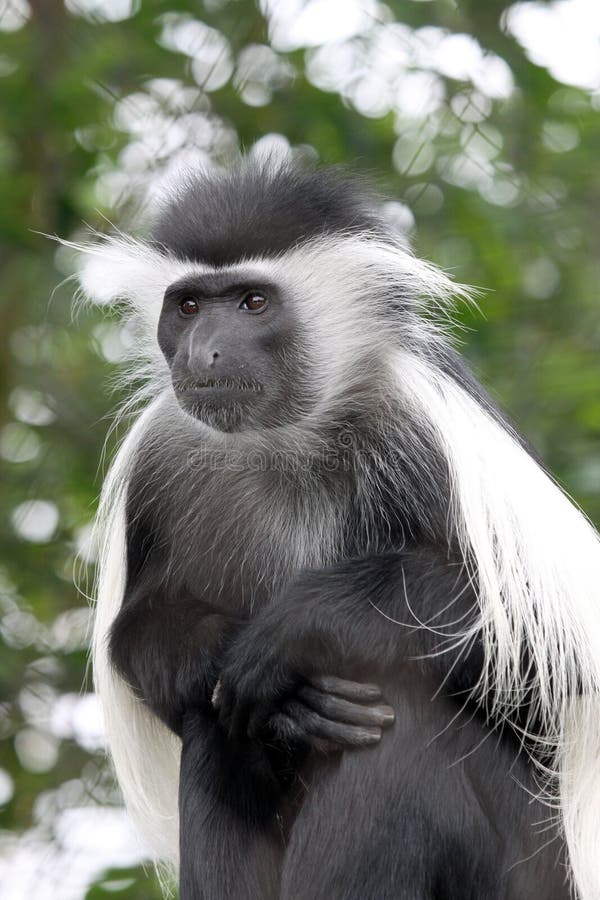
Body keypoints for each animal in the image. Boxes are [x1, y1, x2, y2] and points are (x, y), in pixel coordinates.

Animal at [75, 162, 600, 900]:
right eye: (188, 307)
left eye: (253, 303)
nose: (203, 354)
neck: (287, 441)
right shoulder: (161, 461)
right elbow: (142, 632)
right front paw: (251, 672)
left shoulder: (421, 423)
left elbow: (553, 636)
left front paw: (297, 630)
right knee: (216, 725)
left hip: (533, 867)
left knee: (405, 721)